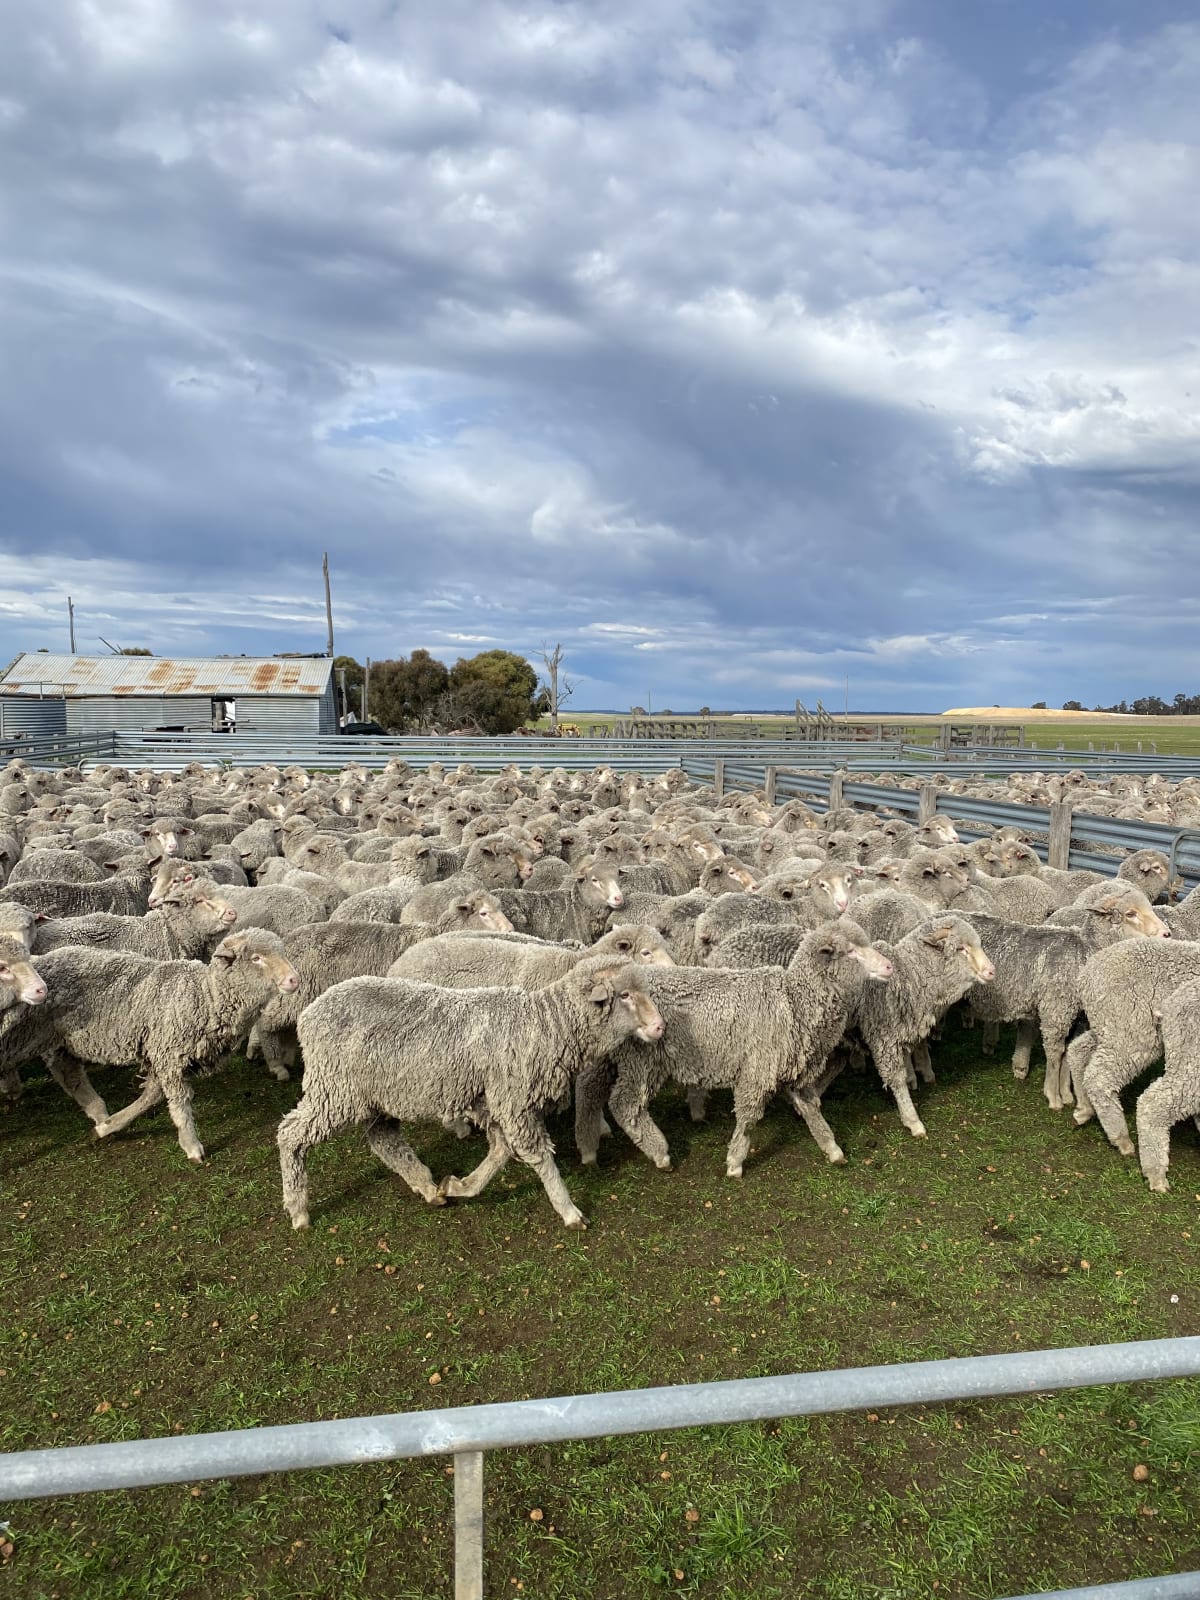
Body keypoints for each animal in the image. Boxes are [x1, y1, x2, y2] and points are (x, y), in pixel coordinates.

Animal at [10, 930, 298, 1160]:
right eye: (256, 958)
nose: (294, 979)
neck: (206, 996)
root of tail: (40, 962)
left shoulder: (163, 1053)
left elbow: (152, 1096)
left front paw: (110, 1126)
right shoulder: (168, 1053)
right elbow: (178, 1103)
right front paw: (192, 1145)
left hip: (61, 1042)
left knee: (69, 1075)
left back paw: (99, 1115)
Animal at [280, 957, 664, 1229]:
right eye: (625, 995)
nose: (660, 1027)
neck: (545, 1026)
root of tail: (309, 1013)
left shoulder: (492, 1101)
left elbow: (501, 1151)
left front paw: (460, 1186)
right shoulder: (512, 1100)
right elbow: (537, 1155)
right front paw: (569, 1210)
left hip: (379, 1093)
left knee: (382, 1138)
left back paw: (427, 1187)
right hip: (334, 1089)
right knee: (290, 1134)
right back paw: (298, 1209)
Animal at [574, 922, 893, 1176]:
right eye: (850, 951)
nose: (890, 967)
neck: (796, 1003)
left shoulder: (796, 1068)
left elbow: (811, 1107)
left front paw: (831, 1147)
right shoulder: (757, 1070)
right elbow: (748, 1118)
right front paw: (735, 1162)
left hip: (613, 1057)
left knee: (592, 1091)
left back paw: (591, 1147)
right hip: (641, 1058)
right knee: (624, 1104)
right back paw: (659, 1153)